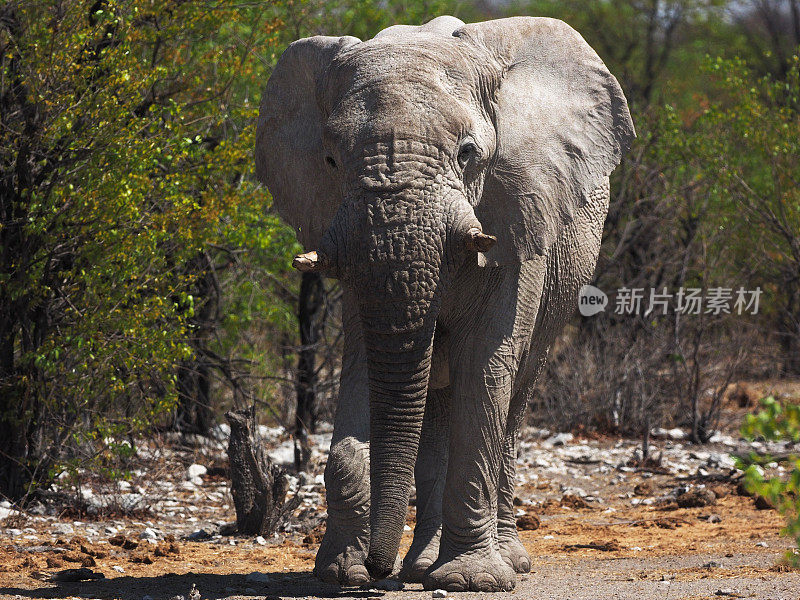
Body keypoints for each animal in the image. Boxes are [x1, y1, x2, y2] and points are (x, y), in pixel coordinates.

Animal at [255, 15, 632, 596]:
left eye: (467, 153)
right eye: (331, 160)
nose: (377, 570)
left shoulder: (521, 216)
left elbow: (486, 368)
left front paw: (472, 580)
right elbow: (365, 367)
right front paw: (338, 573)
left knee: (512, 399)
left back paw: (503, 563)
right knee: (435, 406)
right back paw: (418, 567)